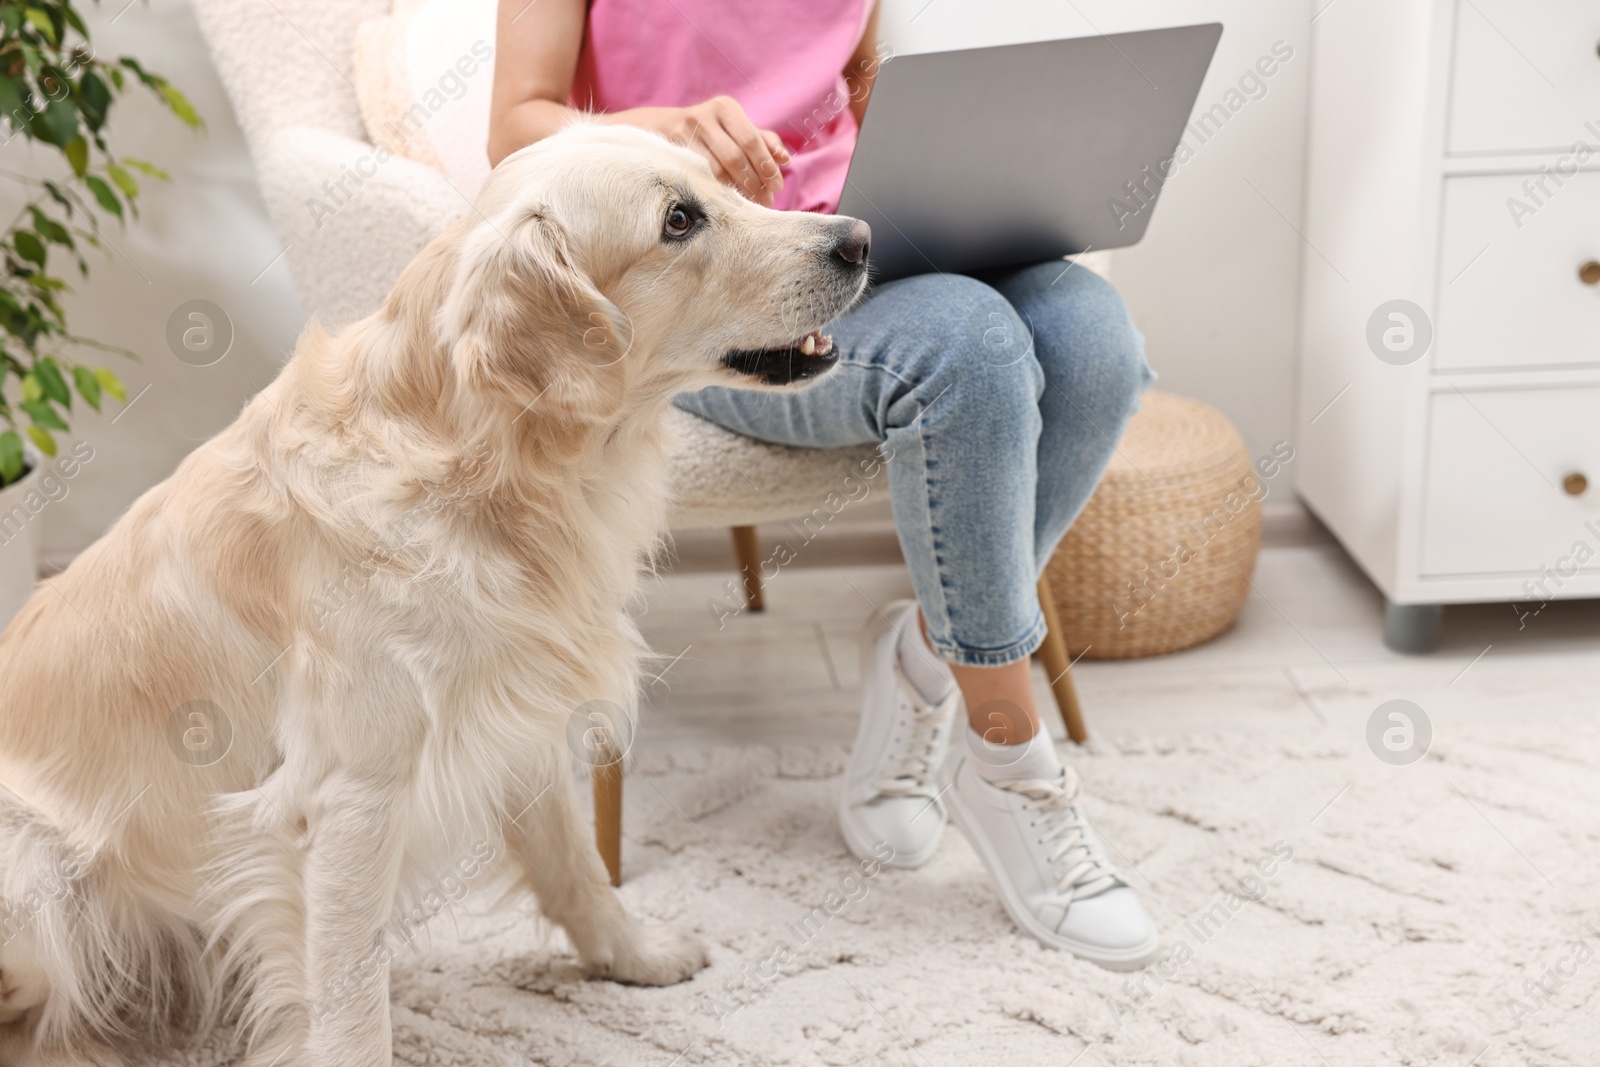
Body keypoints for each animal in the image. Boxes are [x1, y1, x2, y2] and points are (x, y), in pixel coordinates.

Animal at [0, 127, 870, 1067]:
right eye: (679, 220)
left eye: (724, 183)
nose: (858, 239)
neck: (483, 468)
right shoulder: (348, 798)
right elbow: (351, 1005)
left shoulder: (520, 710)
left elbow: (574, 861)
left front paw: (630, 953)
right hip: (33, 861)